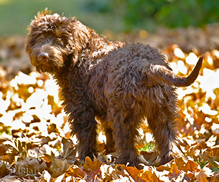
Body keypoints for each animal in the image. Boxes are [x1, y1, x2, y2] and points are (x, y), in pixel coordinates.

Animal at [25, 9, 204, 166]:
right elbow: (108, 132)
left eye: (61, 38)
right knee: (167, 138)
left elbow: (86, 136)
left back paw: (125, 163)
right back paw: (170, 162)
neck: (81, 55)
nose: (43, 55)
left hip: (124, 112)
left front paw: (85, 159)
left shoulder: (80, 108)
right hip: (162, 110)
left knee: (126, 141)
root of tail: (147, 66)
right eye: (41, 36)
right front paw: (108, 152)